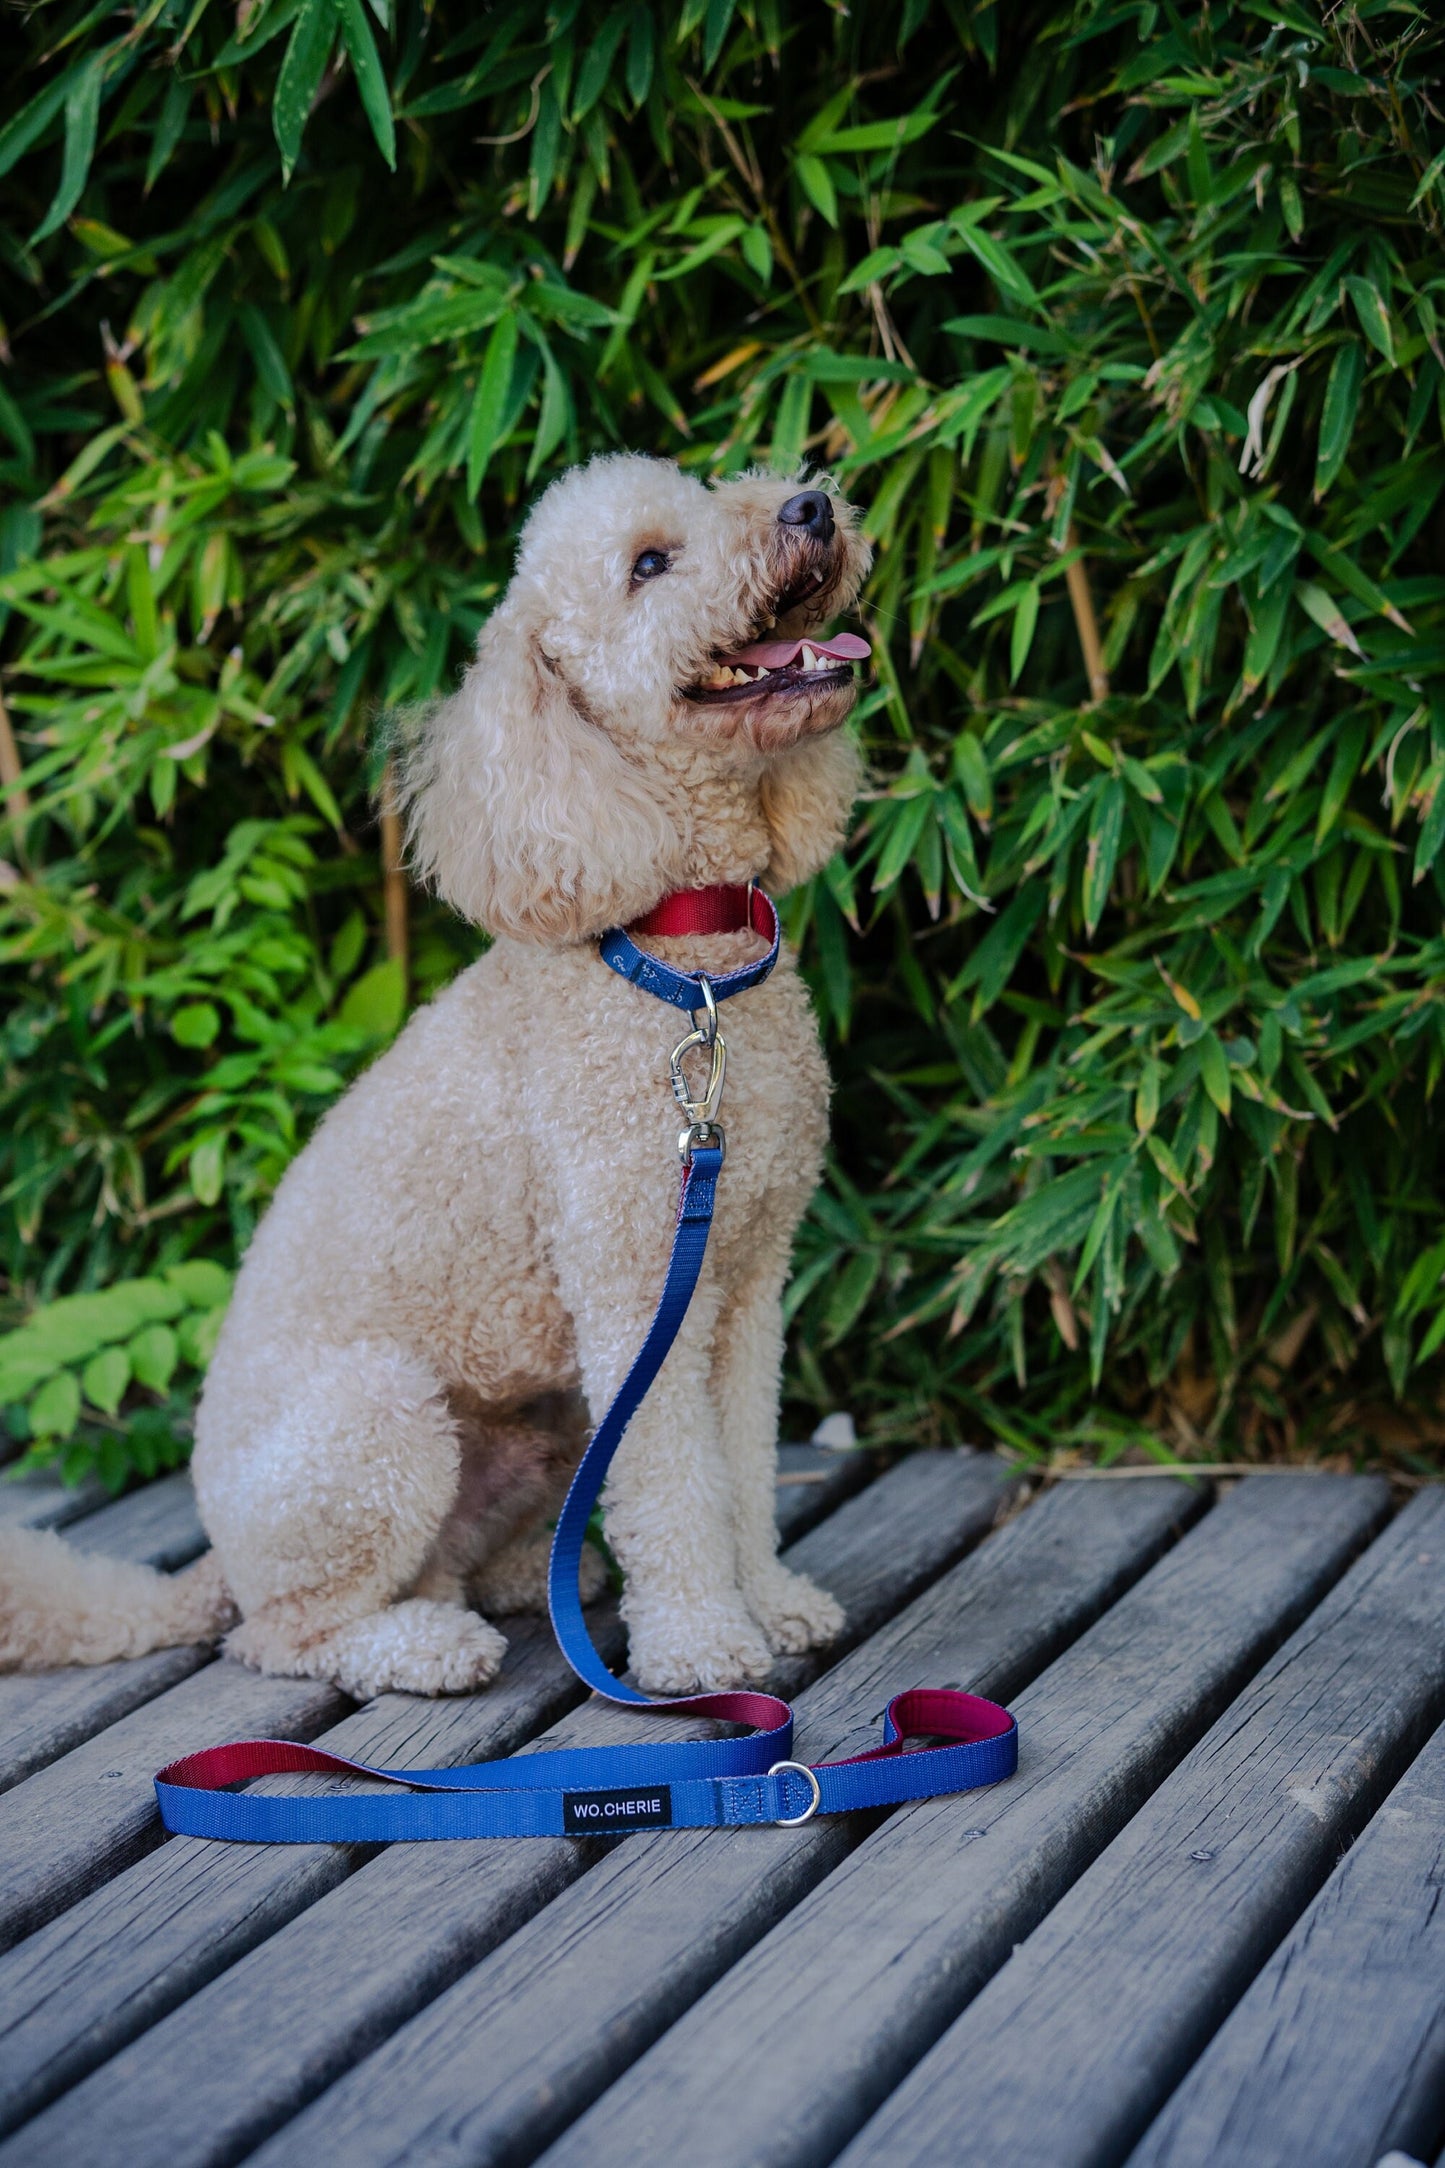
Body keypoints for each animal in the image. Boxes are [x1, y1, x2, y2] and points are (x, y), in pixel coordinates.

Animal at [0, 457, 875, 1699]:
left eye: (717, 490)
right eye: (648, 563)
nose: (809, 505)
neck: (685, 968)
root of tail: (216, 1557)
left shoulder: (748, 1278)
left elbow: (744, 1466)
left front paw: (774, 1602)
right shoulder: (632, 1282)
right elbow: (673, 1479)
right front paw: (701, 1643)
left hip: (543, 1416)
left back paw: (522, 1578)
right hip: (379, 1420)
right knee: (277, 1634)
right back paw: (422, 1645)